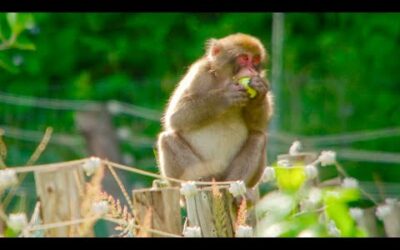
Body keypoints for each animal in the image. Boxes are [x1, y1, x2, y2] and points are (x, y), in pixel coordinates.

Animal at [158, 33, 274, 189]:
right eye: (244, 58)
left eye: (255, 60)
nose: (251, 70)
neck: (225, 80)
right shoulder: (199, 73)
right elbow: (175, 117)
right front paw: (224, 97)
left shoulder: (262, 77)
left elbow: (258, 126)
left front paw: (259, 91)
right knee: (167, 139)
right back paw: (202, 182)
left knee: (258, 137)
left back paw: (234, 185)